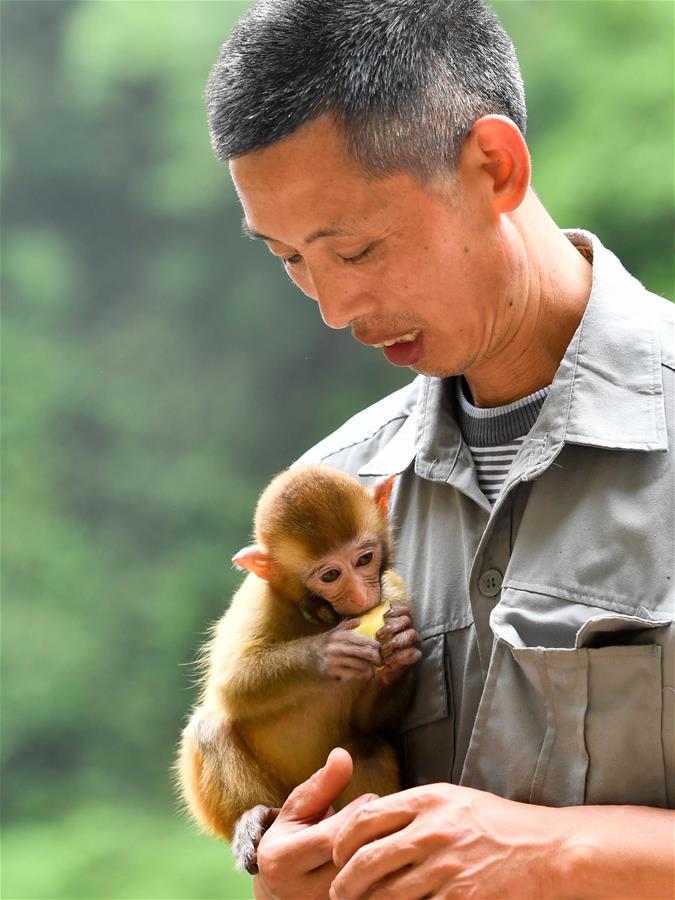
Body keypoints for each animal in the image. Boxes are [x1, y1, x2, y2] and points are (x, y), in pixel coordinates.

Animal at [177, 464, 420, 872]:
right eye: (330, 575)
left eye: (364, 559)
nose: (361, 596)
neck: (322, 617)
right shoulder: (258, 598)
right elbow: (231, 685)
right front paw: (327, 653)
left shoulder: (394, 593)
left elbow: (373, 723)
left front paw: (401, 647)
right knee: (210, 726)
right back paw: (255, 815)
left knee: (365, 747)